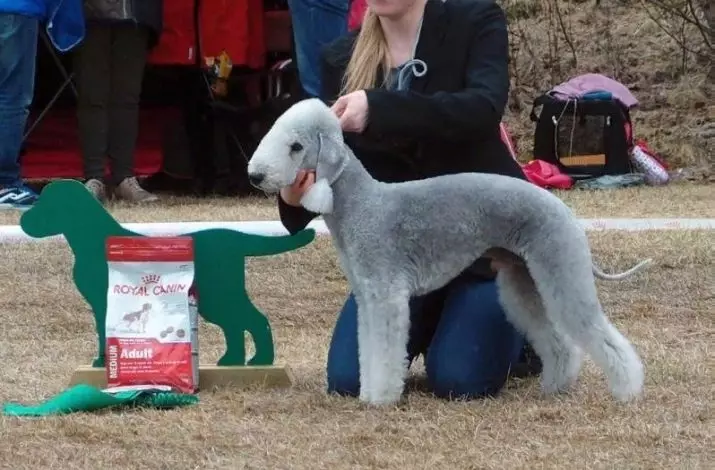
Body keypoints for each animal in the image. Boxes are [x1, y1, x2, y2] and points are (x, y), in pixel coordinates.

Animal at [246, 99, 648, 408]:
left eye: (296, 147)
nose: (255, 176)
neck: (361, 205)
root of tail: (565, 211)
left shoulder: (387, 296)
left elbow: (386, 351)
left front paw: (381, 398)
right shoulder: (368, 298)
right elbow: (367, 348)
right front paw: (369, 393)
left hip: (560, 267)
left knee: (597, 332)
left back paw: (628, 390)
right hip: (524, 278)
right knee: (557, 341)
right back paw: (555, 385)